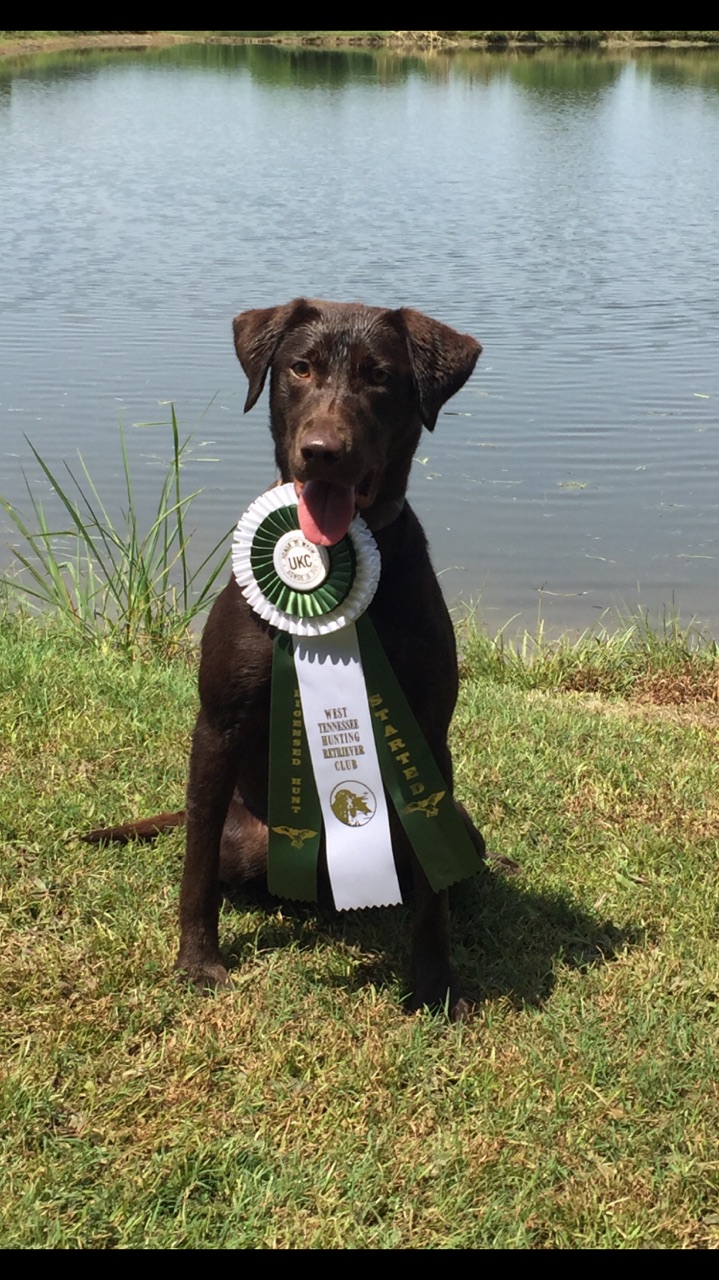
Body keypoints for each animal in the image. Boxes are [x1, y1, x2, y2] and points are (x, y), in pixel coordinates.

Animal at [86, 296, 483, 1018]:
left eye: (380, 376)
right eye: (300, 368)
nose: (322, 452)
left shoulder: (428, 732)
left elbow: (432, 894)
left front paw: (437, 985)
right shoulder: (218, 723)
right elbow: (193, 868)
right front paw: (197, 962)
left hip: (462, 824)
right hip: (243, 837)